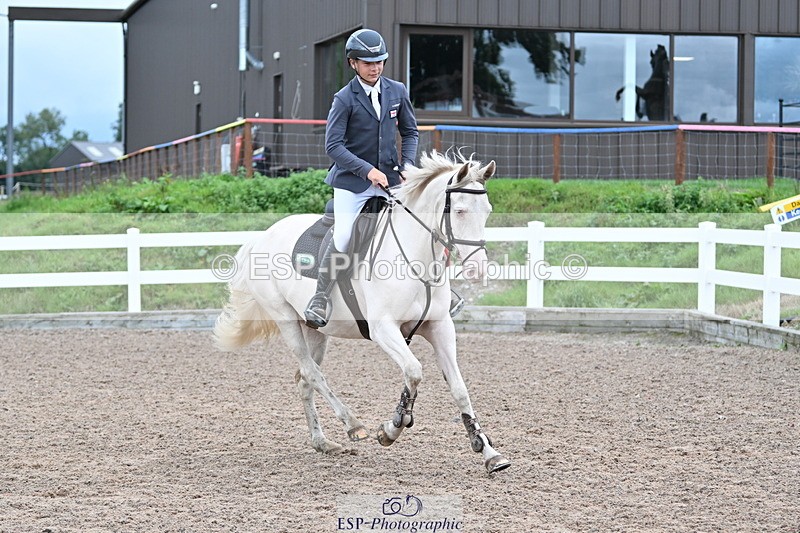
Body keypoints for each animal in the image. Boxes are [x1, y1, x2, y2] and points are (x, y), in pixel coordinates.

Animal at [213, 151, 511, 474]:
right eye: (459, 211)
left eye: (488, 211)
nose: (477, 269)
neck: (415, 258)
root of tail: (261, 237)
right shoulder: (383, 329)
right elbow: (414, 370)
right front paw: (392, 428)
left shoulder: (439, 327)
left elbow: (456, 387)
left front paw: (488, 451)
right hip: (286, 320)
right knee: (312, 372)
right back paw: (353, 425)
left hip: (314, 329)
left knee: (305, 378)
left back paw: (322, 442)